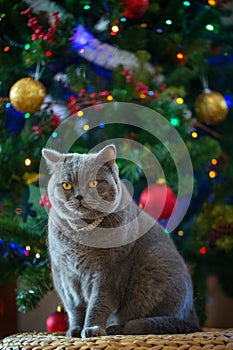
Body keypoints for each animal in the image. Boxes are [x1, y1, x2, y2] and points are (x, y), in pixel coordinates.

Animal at [41, 144, 200, 338]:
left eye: (94, 183)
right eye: (66, 185)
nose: (79, 196)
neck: (82, 236)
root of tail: (193, 316)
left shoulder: (108, 272)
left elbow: (98, 303)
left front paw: (92, 329)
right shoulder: (65, 275)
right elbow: (74, 307)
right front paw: (75, 330)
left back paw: (115, 328)